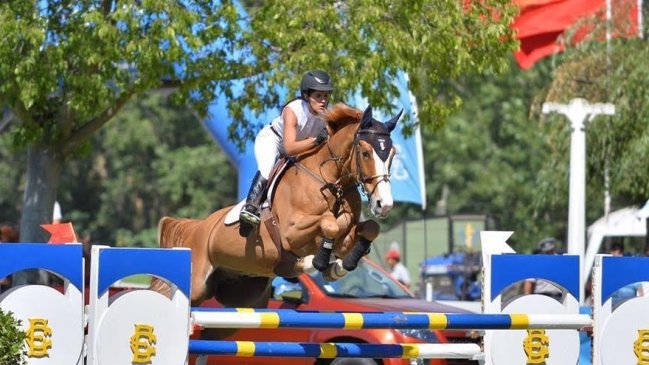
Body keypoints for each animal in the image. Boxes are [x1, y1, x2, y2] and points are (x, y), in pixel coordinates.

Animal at [155, 102, 402, 310]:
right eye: (366, 153)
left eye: (392, 154)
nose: (384, 204)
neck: (330, 182)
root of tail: (198, 227)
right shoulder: (292, 231)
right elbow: (330, 224)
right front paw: (323, 262)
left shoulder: (347, 233)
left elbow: (368, 228)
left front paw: (342, 264)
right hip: (197, 284)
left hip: (246, 292)